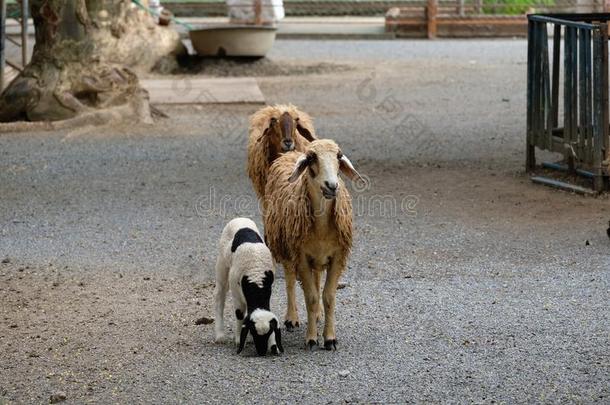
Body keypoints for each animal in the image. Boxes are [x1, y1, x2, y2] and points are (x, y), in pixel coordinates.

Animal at [213, 218, 282, 354]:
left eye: (269, 333)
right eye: (254, 332)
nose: (261, 352)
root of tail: (239, 218)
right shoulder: (236, 291)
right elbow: (240, 314)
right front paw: (239, 339)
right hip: (222, 265)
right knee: (219, 296)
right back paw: (219, 335)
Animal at [260, 140, 360, 350]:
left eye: (338, 156)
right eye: (312, 158)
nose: (332, 186)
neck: (321, 228)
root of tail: (290, 153)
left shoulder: (337, 257)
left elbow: (328, 296)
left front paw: (329, 338)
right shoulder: (301, 257)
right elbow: (311, 297)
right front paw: (312, 339)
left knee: (317, 278)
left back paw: (319, 315)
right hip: (286, 249)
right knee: (290, 281)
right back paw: (292, 318)